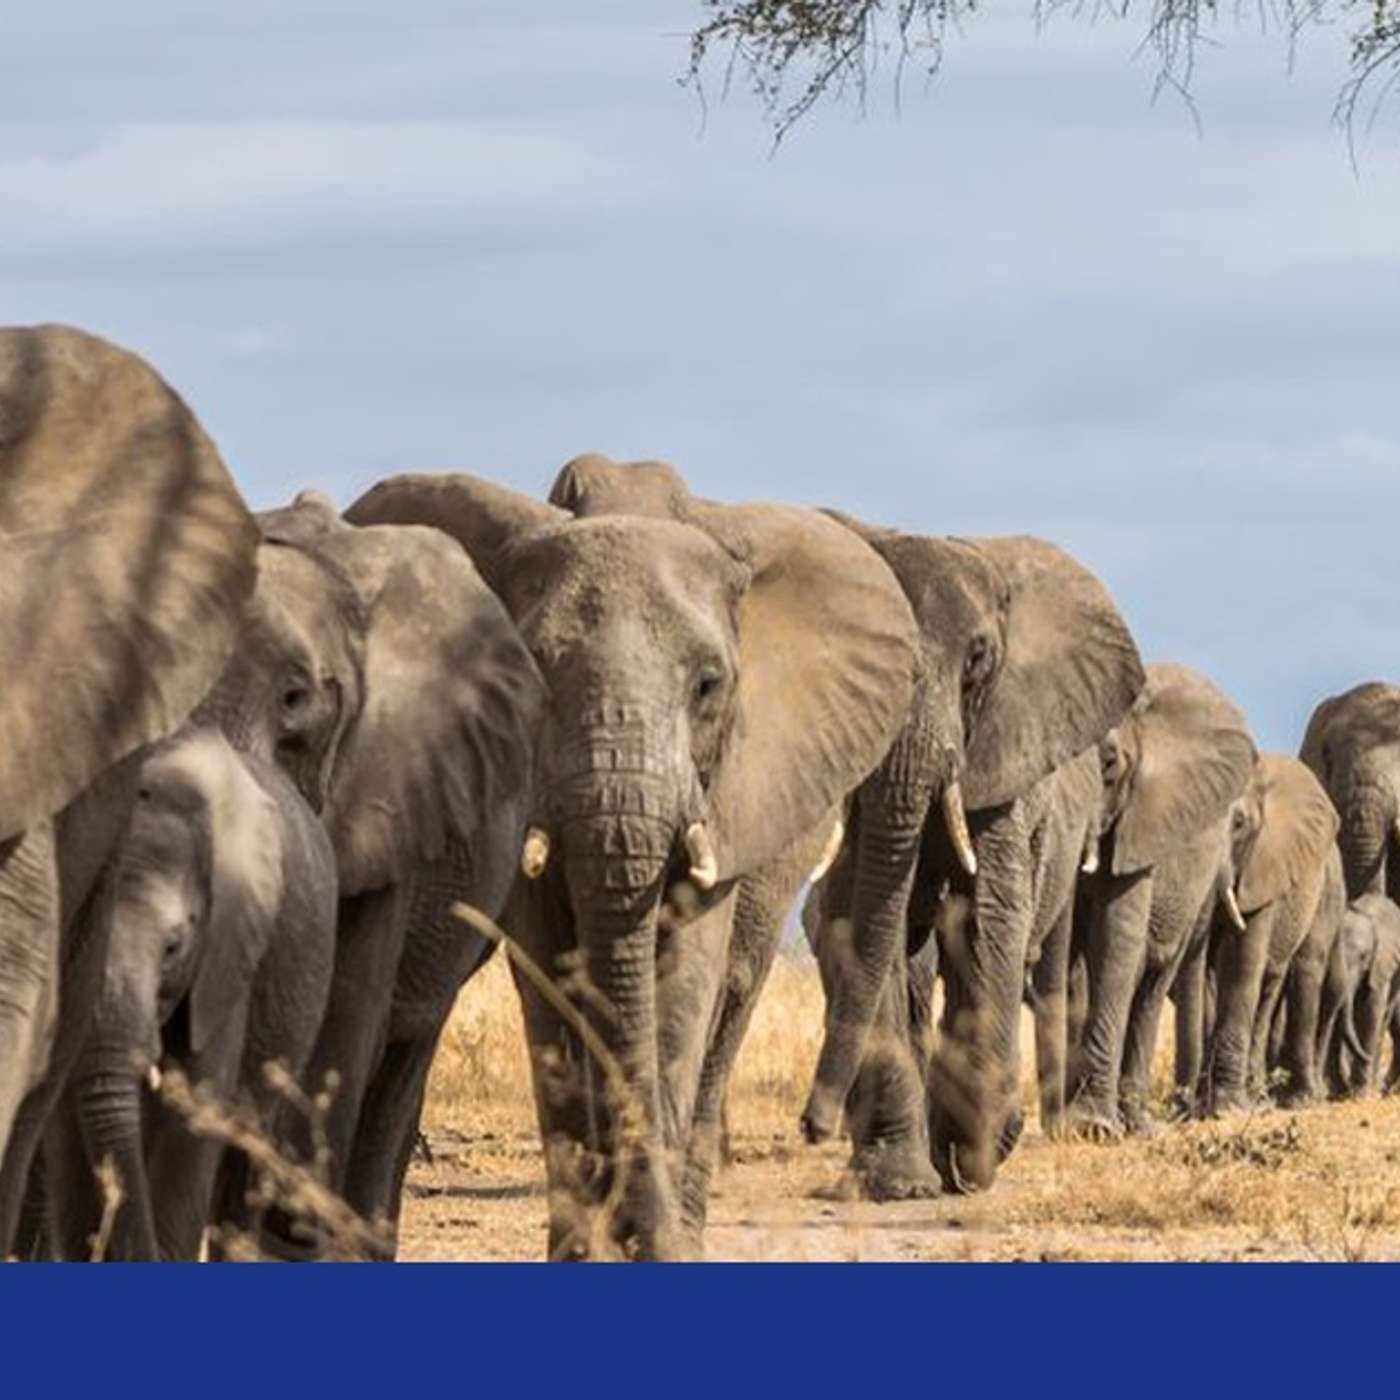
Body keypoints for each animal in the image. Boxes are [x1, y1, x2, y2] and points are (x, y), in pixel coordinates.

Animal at [47, 724, 337, 1261]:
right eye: (75, 939)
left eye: (172, 948)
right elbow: (64, 1129)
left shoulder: (227, 953)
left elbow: (194, 1113)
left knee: (247, 1147)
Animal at [345, 457, 919, 1259]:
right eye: (532, 674)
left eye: (708, 685)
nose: (814, 1129)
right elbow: (553, 976)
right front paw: (587, 1250)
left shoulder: (730, 791)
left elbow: (686, 979)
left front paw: (658, 1244)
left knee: (733, 991)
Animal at [797, 516, 1145, 1196]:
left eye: (979, 660)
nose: (811, 1126)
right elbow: (862, 924)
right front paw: (900, 1182)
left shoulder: (1004, 762)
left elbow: (985, 920)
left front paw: (975, 1154)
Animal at [1069, 663, 1257, 1139]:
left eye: (1110, 764)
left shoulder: (1143, 821)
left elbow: (1117, 938)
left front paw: (1093, 1126)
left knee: (1153, 979)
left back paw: (1137, 1125)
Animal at [1199, 752, 1345, 1114]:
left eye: (1239, 823)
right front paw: (1199, 1104)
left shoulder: (1263, 869)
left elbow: (1241, 965)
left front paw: (1227, 1107)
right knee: (1269, 985)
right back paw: (1260, 1096)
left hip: (1327, 889)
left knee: (1305, 969)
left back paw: (1300, 1099)